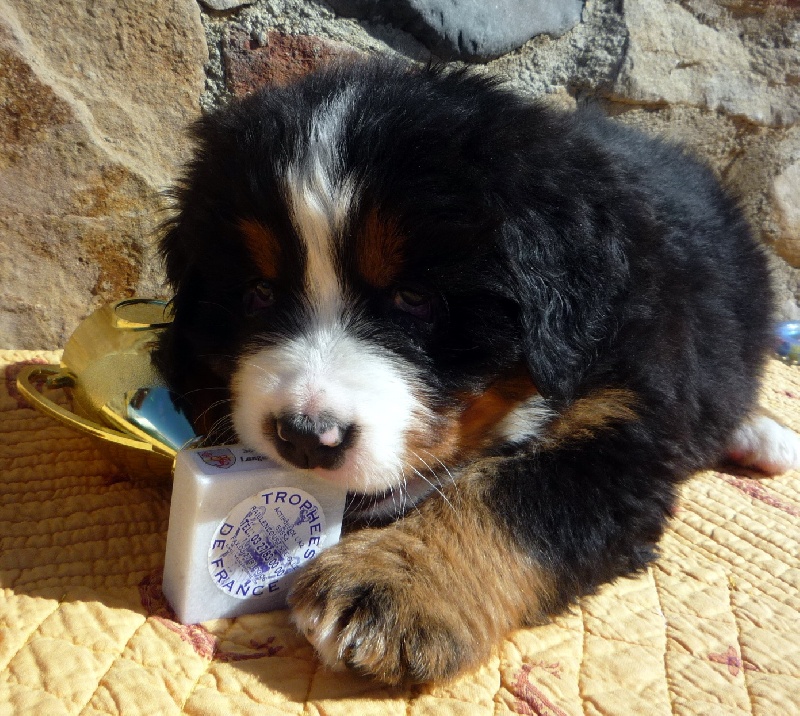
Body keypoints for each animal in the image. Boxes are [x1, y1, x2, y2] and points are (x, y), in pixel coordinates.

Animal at [154, 60, 798, 684]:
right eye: (257, 294)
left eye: (416, 298)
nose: (306, 438)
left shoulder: (624, 416)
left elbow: (510, 497)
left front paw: (396, 585)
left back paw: (763, 433)